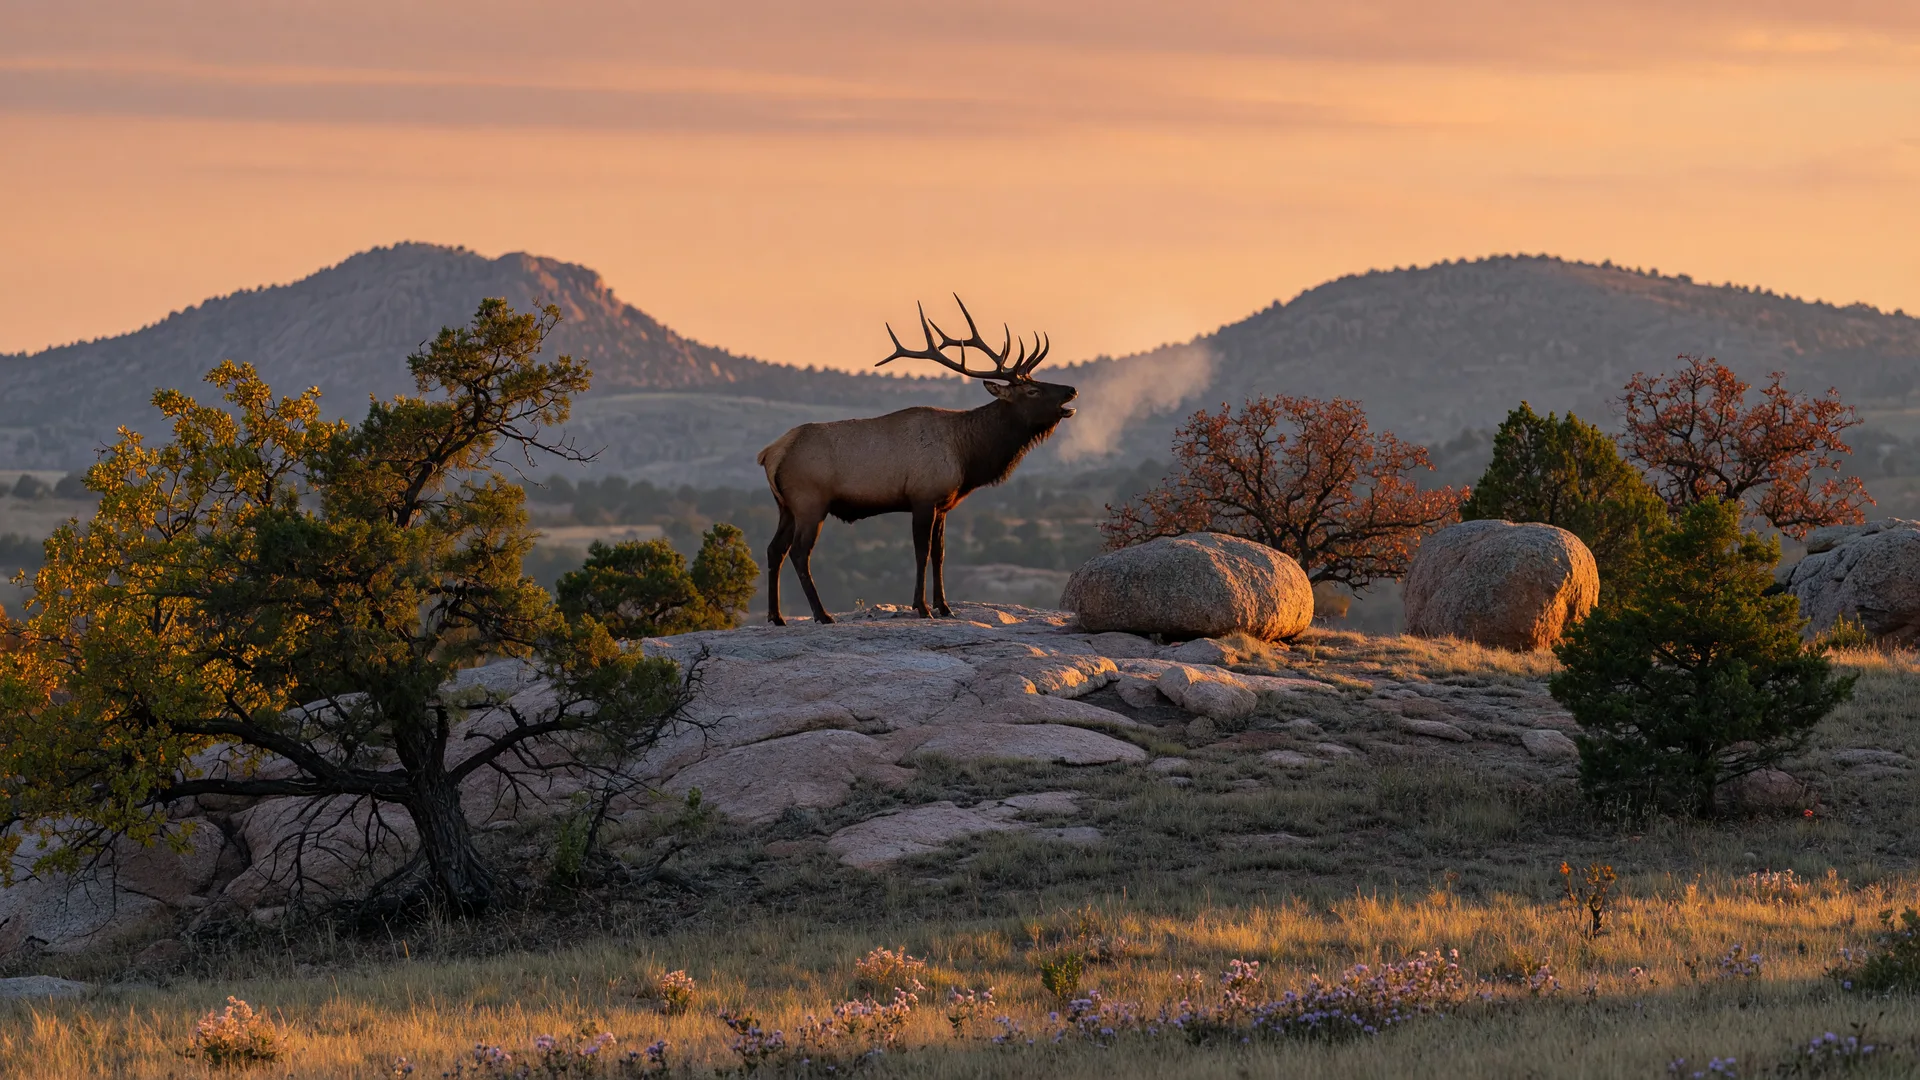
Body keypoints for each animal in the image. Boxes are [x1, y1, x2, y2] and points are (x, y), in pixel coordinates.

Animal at [757, 296, 1077, 625]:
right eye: (1033, 390)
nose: (1071, 390)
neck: (967, 455)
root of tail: (770, 453)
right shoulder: (923, 497)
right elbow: (921, 552)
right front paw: (922, 607)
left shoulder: (943, 504)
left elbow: (940, 553)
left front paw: (945, 606)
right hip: (810, 502)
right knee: (798, 552)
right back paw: (822, 614)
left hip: (786, 506)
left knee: (774, 549)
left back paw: (777, 616)